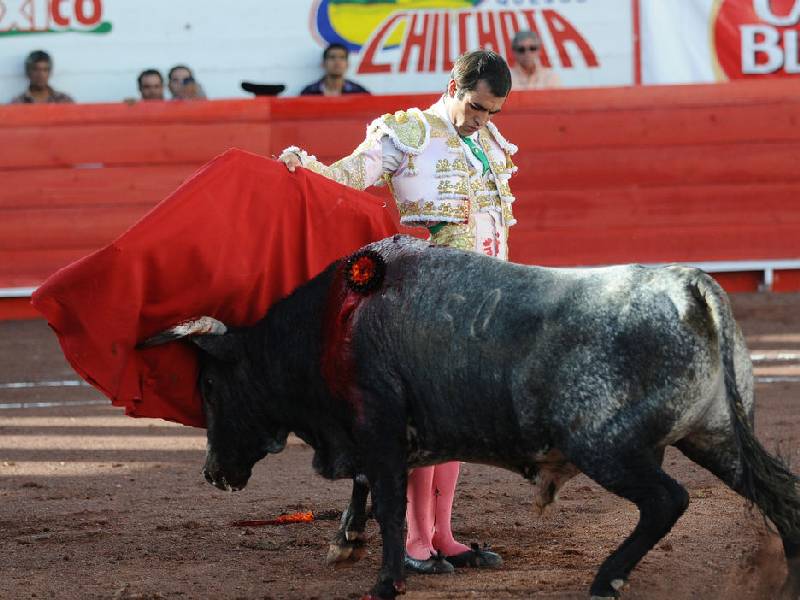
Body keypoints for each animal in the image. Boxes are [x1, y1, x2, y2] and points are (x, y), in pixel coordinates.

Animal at [144, 236, 800, 600]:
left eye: (210, 385)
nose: (212, 472)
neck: (330, 326)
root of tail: (687, 285)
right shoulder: (380, 434)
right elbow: (369, 490)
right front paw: (347, 544)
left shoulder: (377, 425)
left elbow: (388, 501)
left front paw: (385, 582)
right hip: (715, 435)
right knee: (778, 493)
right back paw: (790, 573)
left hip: (608, 448)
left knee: (668, 502)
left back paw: (606, 580)